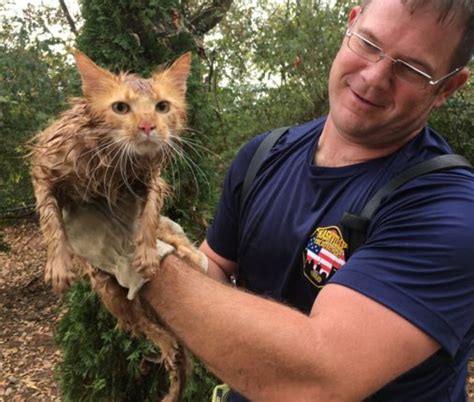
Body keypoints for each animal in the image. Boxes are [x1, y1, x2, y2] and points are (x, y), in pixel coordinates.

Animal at [30, 50, 199, 402]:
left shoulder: (152, 180)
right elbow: (50, 219)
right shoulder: (44, 167)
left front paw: (147, 252)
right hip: (109, 292)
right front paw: (58, 264)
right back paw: (167, 345)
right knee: (142, 325)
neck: (110, 160)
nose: (148, 126)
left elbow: (149, 215)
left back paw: (186, 253)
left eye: (162, 106)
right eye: (120, 107)